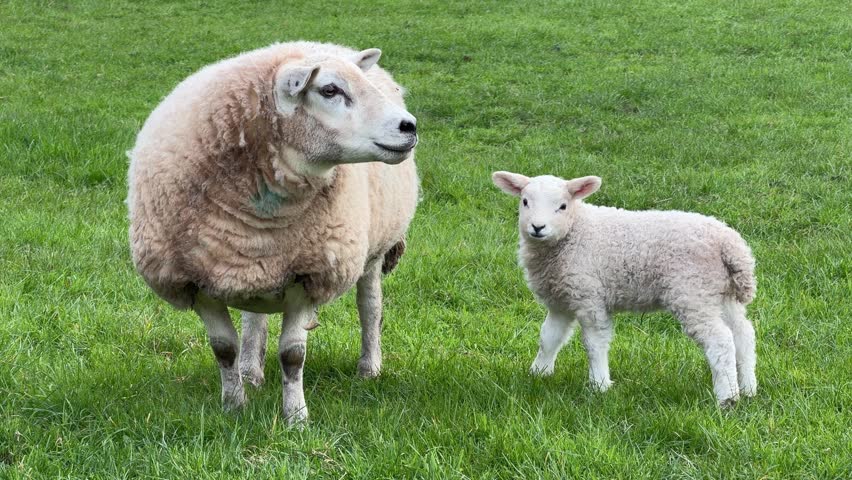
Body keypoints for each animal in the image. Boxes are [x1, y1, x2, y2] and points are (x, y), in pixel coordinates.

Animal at [127, 41, 420, 424]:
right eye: (330, 90)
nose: (409, 126)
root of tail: (324, 44)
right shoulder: (195, 280)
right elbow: (223, 349)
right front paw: (234, 406)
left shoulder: (308, 276)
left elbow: (293, 355)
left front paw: (296, 418)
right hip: (254, 268)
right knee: (254, 317)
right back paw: (250, 372)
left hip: (373, 249)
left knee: (370, 307)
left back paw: (369, 367)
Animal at [492, 171, 757, 406]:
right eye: (525, 202)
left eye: (563, 206)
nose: (537, 227)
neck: (576, 231)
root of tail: (729, 242)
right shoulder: (561, 300)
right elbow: (549, 338)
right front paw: (538, 374)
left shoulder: (589, 296)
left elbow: (594, 343)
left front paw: (599, 385)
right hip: (720, 293)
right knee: (743, 334)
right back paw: (748, 388)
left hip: (693, 291)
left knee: (720, 340)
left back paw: (727, 397)